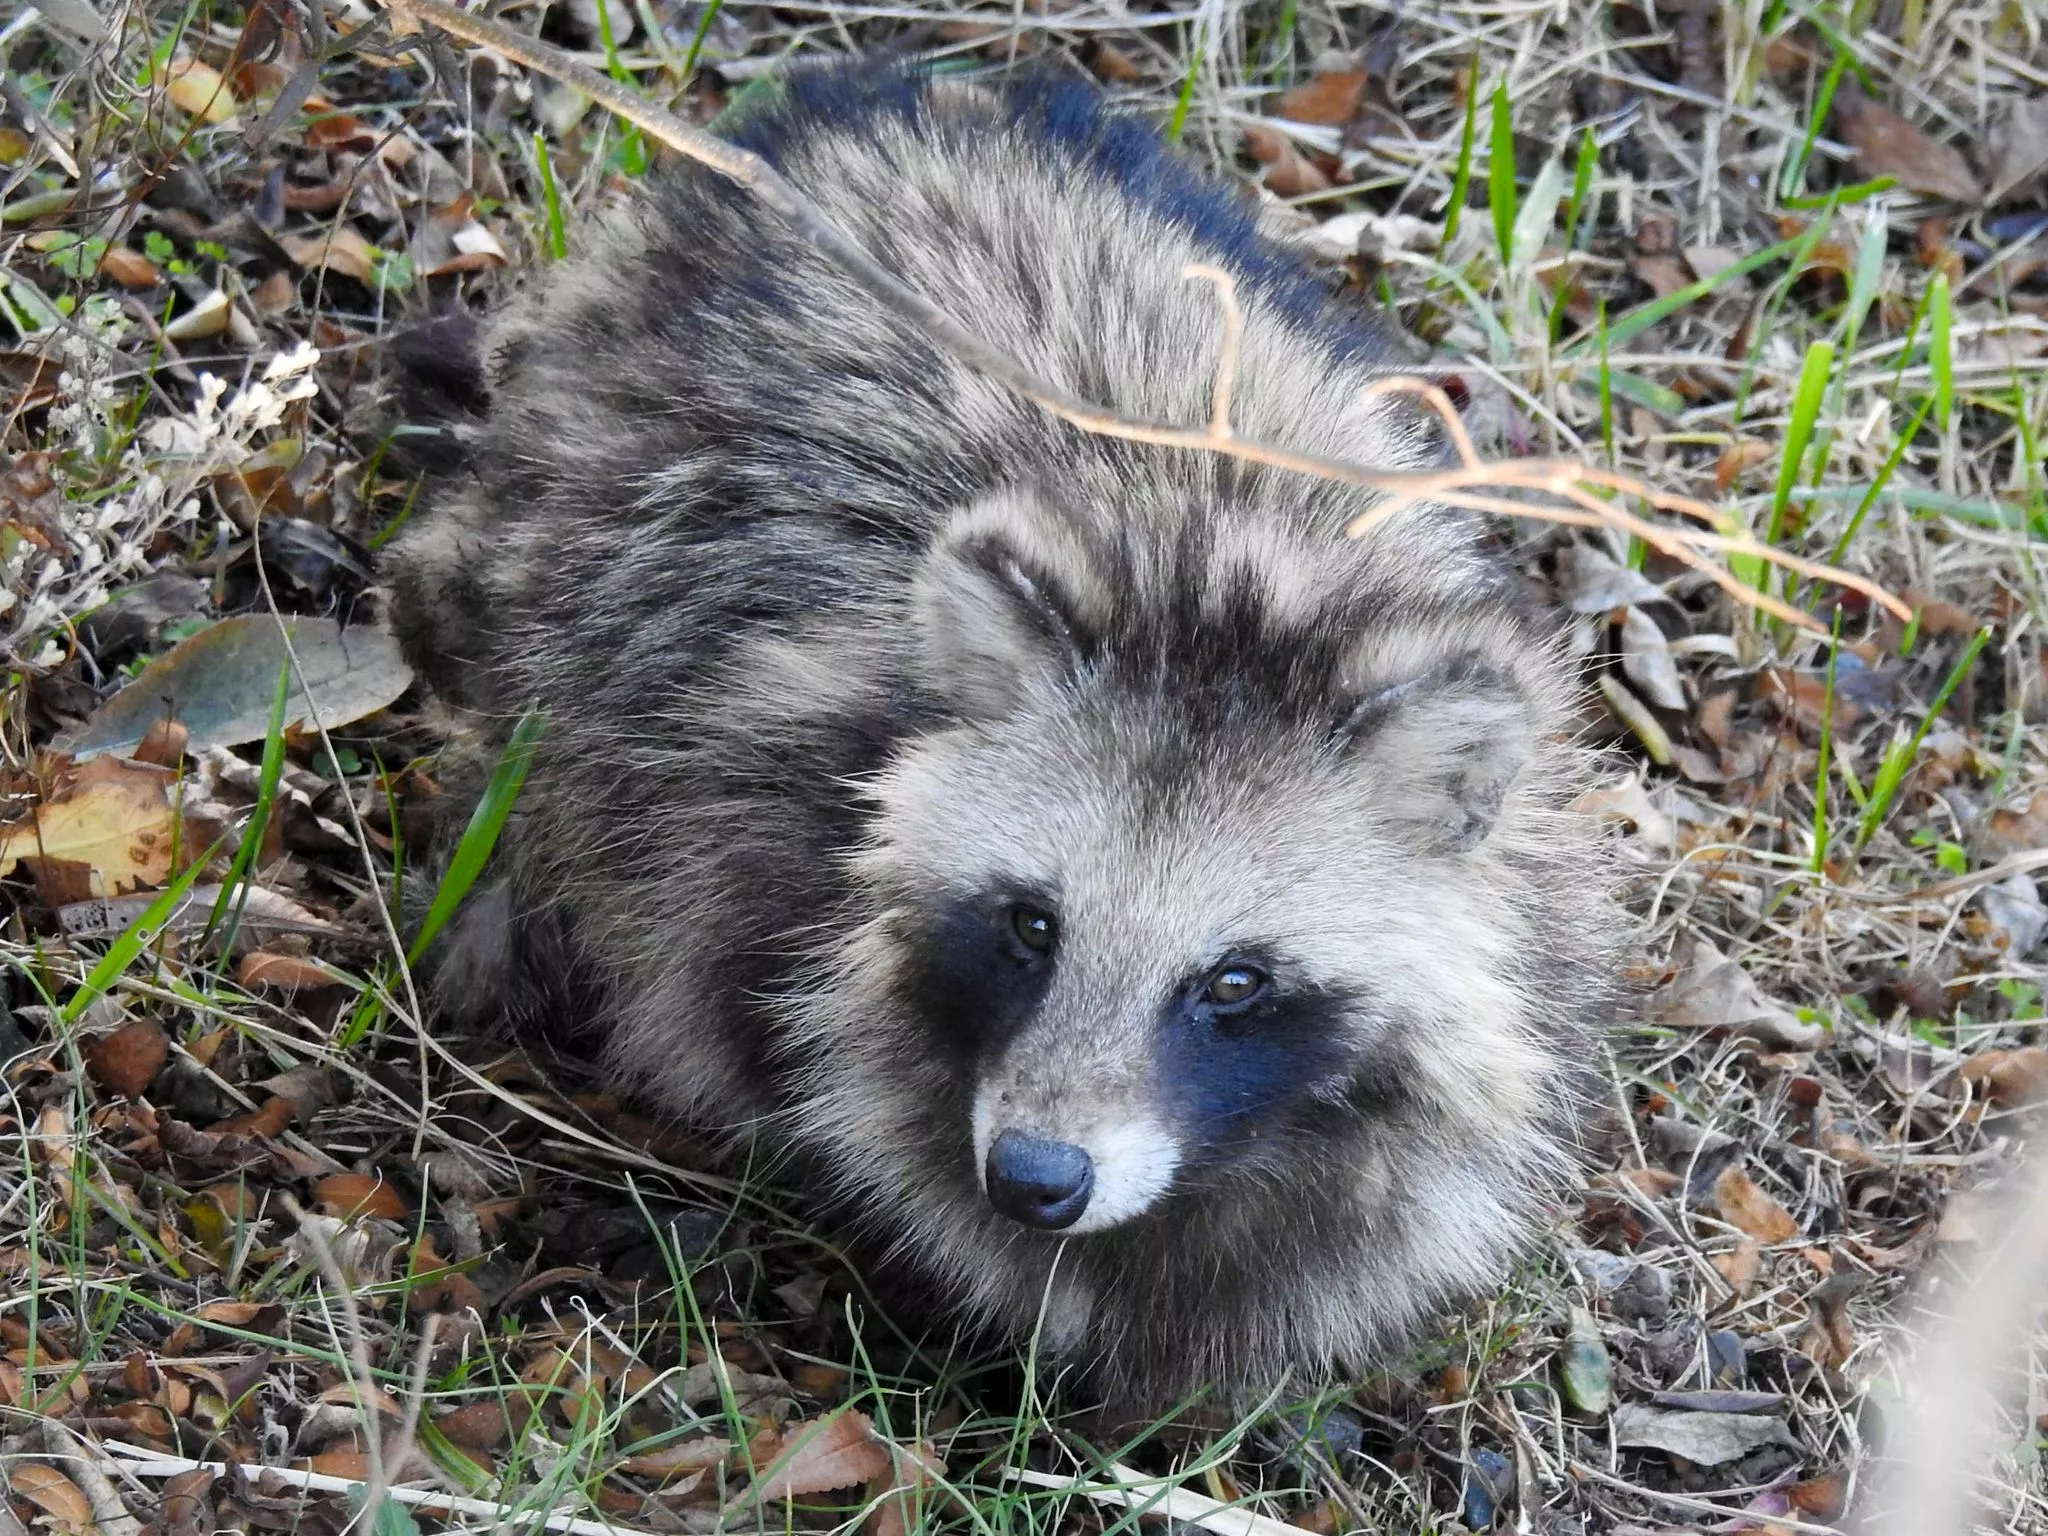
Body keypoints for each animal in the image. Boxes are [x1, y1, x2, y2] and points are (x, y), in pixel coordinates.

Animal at [390, 64, 1618, 1411]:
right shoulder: (746, 851)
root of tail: (848, 99)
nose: (1035, 1181)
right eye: (1032, 925)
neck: (1220, 579)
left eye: (1234, 982)